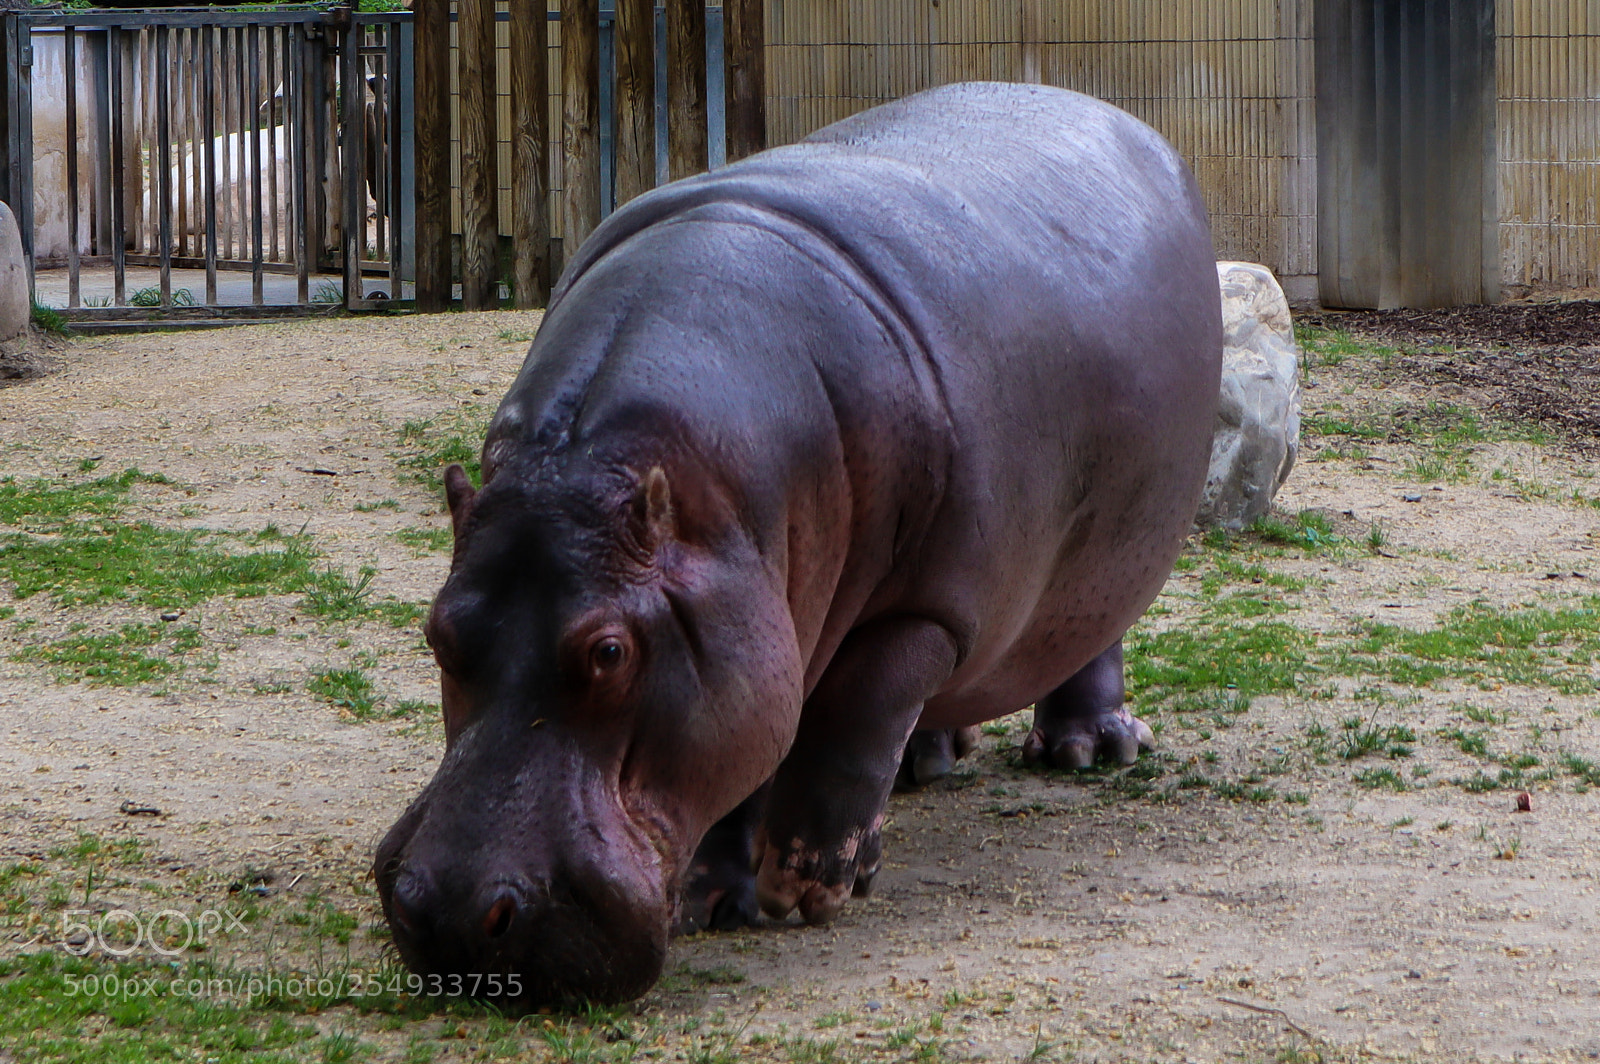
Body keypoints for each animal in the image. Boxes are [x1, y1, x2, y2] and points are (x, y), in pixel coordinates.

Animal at [375, 81, 1223, 1006]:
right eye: (437, 630)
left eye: (609, 651)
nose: (456, 915)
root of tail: (1113, 114)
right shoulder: (747, 627)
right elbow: (752, 747)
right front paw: (709, 901)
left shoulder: (926, 612)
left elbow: (853, 721)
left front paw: (806, 888)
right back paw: (930, 763)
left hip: (1112, 553)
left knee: (1084, 638)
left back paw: (1088, 750)